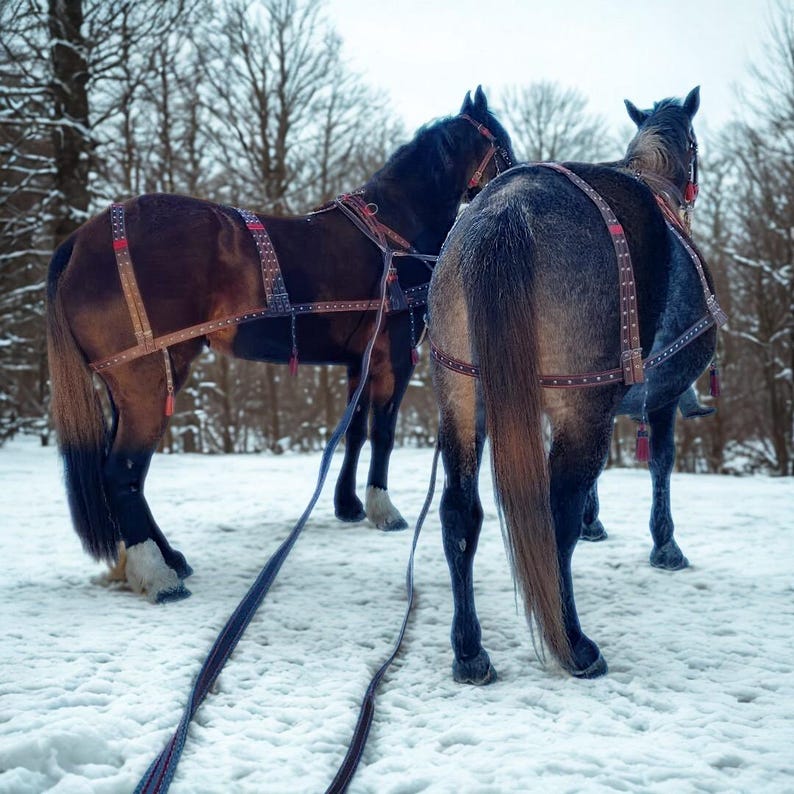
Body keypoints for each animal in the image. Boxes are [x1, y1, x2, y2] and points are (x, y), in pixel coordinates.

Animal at [46, 87, 514, 603]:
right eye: (503, 144)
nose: (516, 177)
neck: (395, 232)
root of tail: (80, 243)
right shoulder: (395, 354)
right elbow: (384, 432)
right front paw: (382, 508)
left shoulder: (360, 360)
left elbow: (355, 431)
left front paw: (349, 504)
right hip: (146, 380)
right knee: (122, 472)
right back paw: (159, 576)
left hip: (130, 385)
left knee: (125, 476)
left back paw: (162, 560)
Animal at [428, 86, 726, 682]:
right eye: (696, 145)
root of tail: (507, 210)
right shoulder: (651, 396)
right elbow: (661, 464)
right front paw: (665, 544)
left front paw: (598, 521)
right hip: (581, 396)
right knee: (554, 516)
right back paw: (574, 643)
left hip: (462, 394)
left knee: (459, 513)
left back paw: (470, 649)